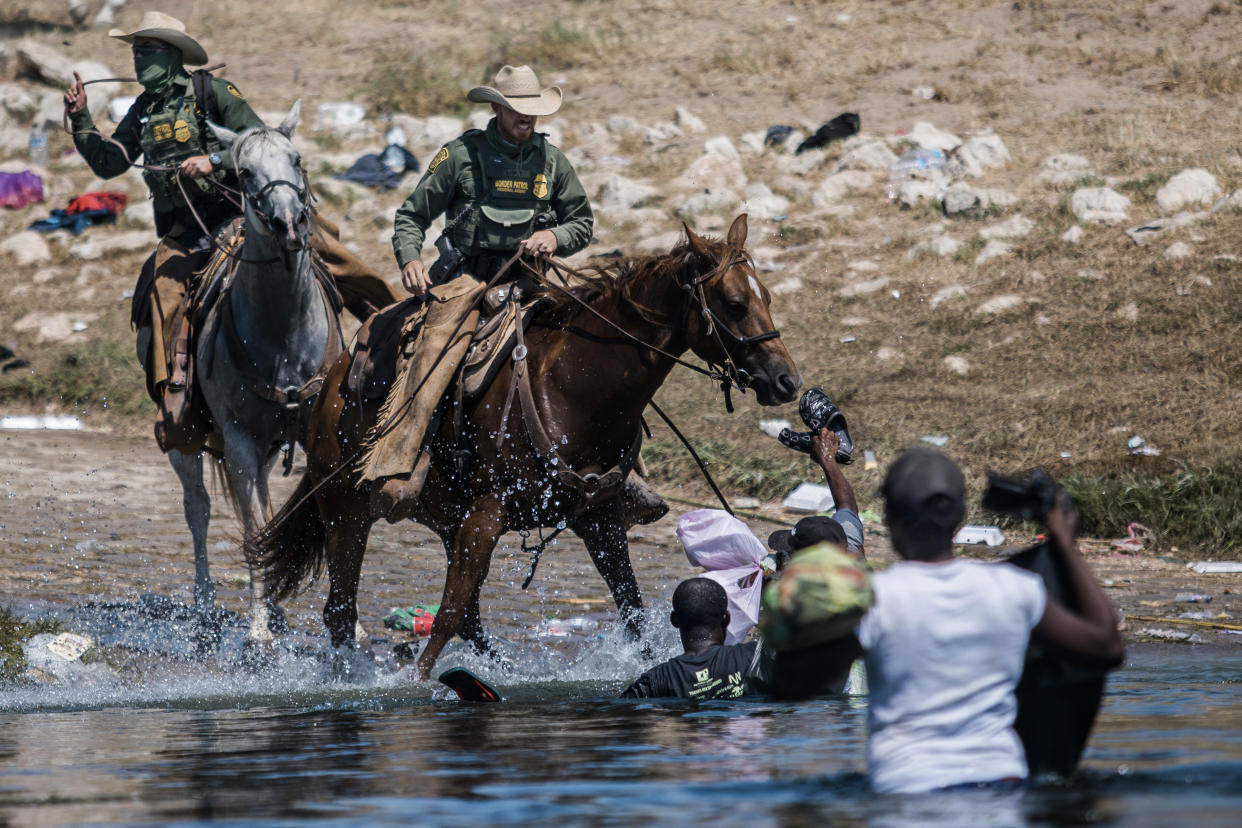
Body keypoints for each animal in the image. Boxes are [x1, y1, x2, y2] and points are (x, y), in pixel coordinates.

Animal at [162, 100, 345, 650]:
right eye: (244, 173)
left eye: (297, 158)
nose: (289, 224)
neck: (283, 333)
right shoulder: (240, 441)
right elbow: (251, 528)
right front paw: (259, 628)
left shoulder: (316, 432)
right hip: (187, 439)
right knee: (199, 509)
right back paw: (207, 609)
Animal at [249, 215, 804, 680]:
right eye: (734, 303)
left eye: (767, 298)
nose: (787, 381)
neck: (574, 388)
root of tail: (333, 381)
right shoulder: (487, 515)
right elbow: (448, 612)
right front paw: (416, 684)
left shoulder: (598, 518)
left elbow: (631, 608)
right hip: (345, 508)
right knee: (342, 610)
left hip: (444, 519)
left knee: (467, 617)